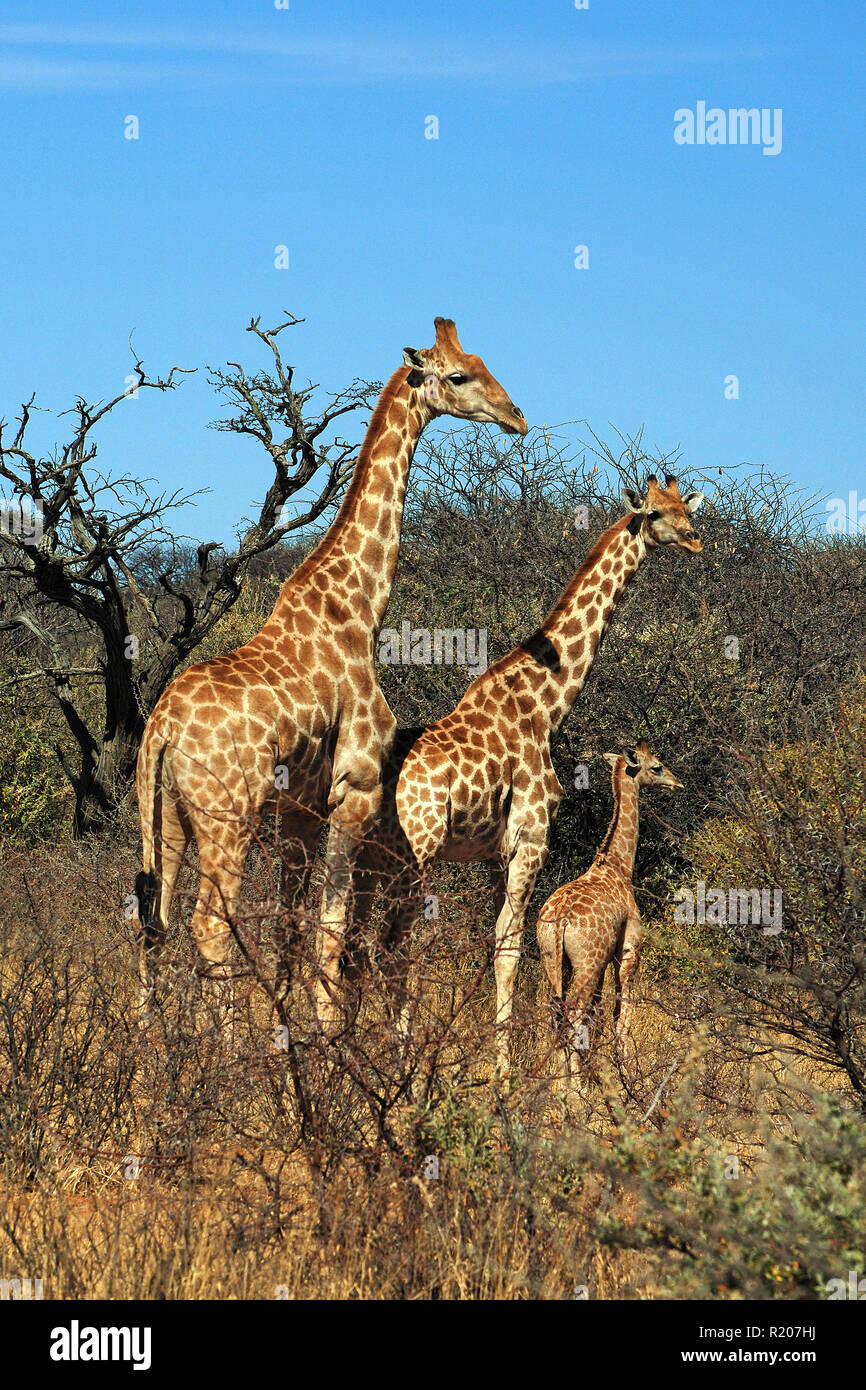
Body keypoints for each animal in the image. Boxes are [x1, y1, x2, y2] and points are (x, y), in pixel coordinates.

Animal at [134, 315, 528, 1017]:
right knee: (209, 921)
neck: (360, 608)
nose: (518, 417)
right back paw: (217, 1039)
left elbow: (293, 927)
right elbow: (333, 928)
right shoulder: (357, 790)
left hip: (165, 817)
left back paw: (153, 1035)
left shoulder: (299, 808)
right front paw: (319, 1034)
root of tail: (162, 729)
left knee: (152, 919)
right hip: (227, 815)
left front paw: (286, 1029)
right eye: (459, 375)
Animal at [536, 739, 683, 1073]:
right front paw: (626, 1073)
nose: (678, 784)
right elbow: (621, 1018)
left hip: (552, 959)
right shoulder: (627, 950)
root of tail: (560, 923)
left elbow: (600, 1019)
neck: (619, 866)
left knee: (558, 1018)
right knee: (574, 1017)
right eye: (657, 767)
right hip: (586, 964)